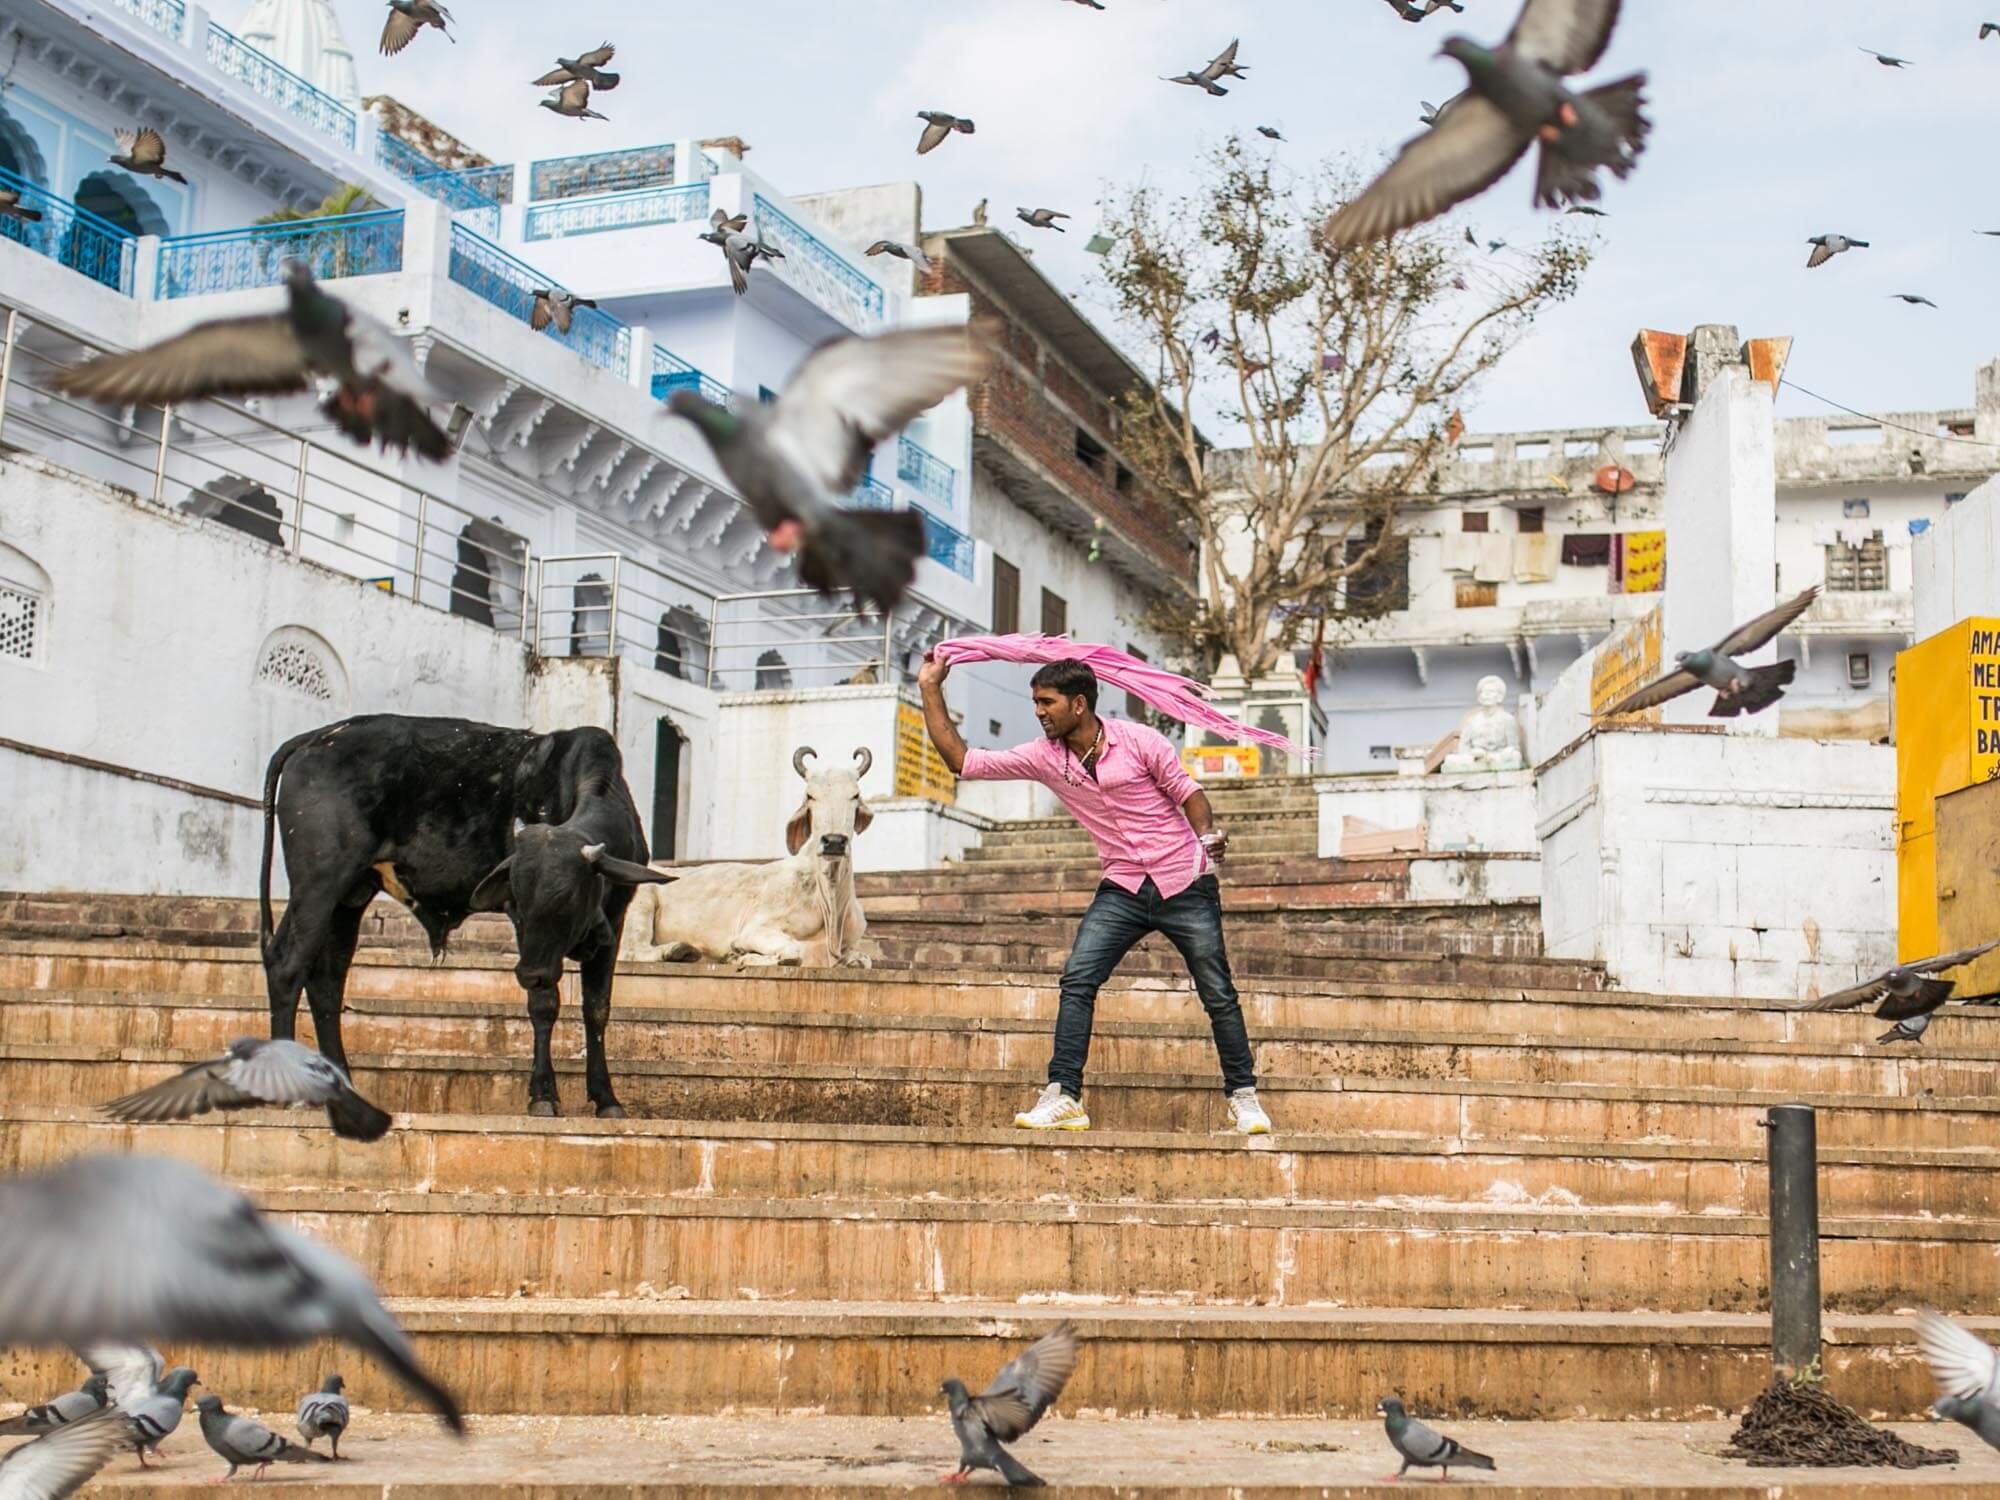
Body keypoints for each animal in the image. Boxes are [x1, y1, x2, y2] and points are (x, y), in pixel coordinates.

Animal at [259, 715, 671, 1117]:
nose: (528, 973)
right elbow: (544, 1005)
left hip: (349, 897)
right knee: (287, 965)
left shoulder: (613, 922)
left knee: (327, 981)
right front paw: (543, 1095)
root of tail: (316, 736)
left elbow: (597, 1009)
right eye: (517, 899)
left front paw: (607, 1098)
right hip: (319, 885)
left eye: (567, 896)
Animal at [622, 745, 875, 968]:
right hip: (641, 903)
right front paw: (740, 956)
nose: (834, 841)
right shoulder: (755, 930)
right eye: (810, 795)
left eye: (855, 795)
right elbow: (794, 952)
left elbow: (864, 960)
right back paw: (678, 950)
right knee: (631, 951)